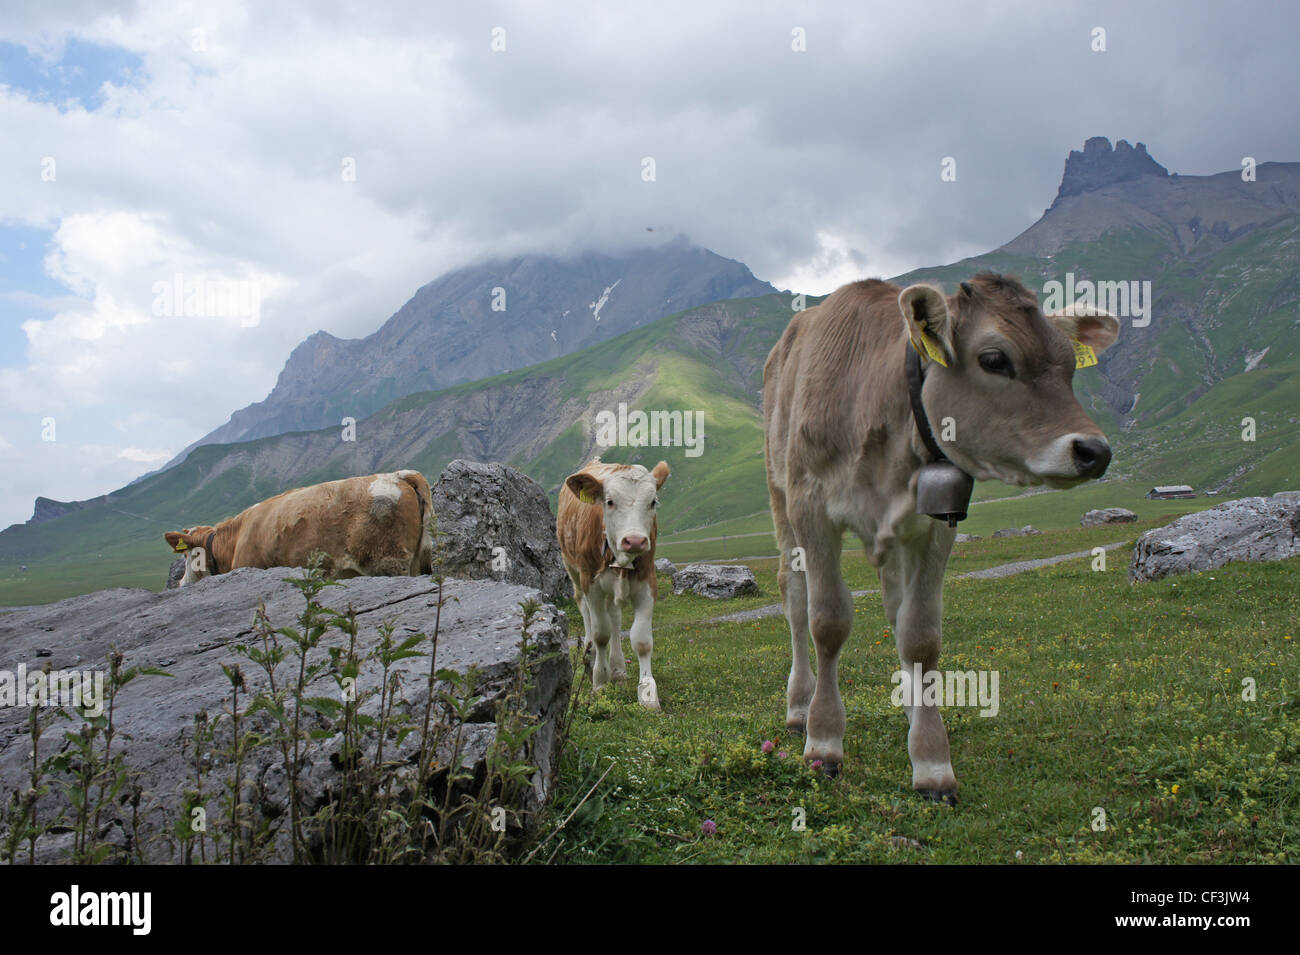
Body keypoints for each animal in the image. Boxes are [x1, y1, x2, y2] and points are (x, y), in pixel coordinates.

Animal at [556, 454, 670, 712]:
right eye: (609, 501)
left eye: (653, 502)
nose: (635, 540)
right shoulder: (591, 584)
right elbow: (601, 634)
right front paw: (600, 680)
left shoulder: (647, 582)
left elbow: (641, 640)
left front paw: (647, 692)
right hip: (573, 573)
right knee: (586, 613)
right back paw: (590, 659)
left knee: (615, 618)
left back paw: (618, 669)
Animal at [759, 272, 1118, 805]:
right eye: (994, 359)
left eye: (1071, 365)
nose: (1094, 451)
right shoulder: (812, 507)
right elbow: (827, 622)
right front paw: (824, 741)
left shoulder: (937, 523)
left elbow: (920, 635)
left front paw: (930, 758)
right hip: (781, 498)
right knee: (795, 597)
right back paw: (799, 705)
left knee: (894, 606)